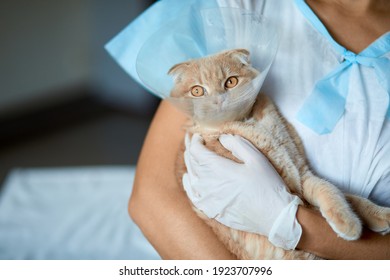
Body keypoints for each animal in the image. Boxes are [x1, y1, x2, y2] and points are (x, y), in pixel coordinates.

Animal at [168, 48, 390, 260]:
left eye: (231, 81)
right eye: (197, 91)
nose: (218, 101)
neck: (251, 123)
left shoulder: (302, 173)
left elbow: (334, 191)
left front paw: (376, 215)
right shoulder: (295, 189)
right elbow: (334, 195)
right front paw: (351, 224)